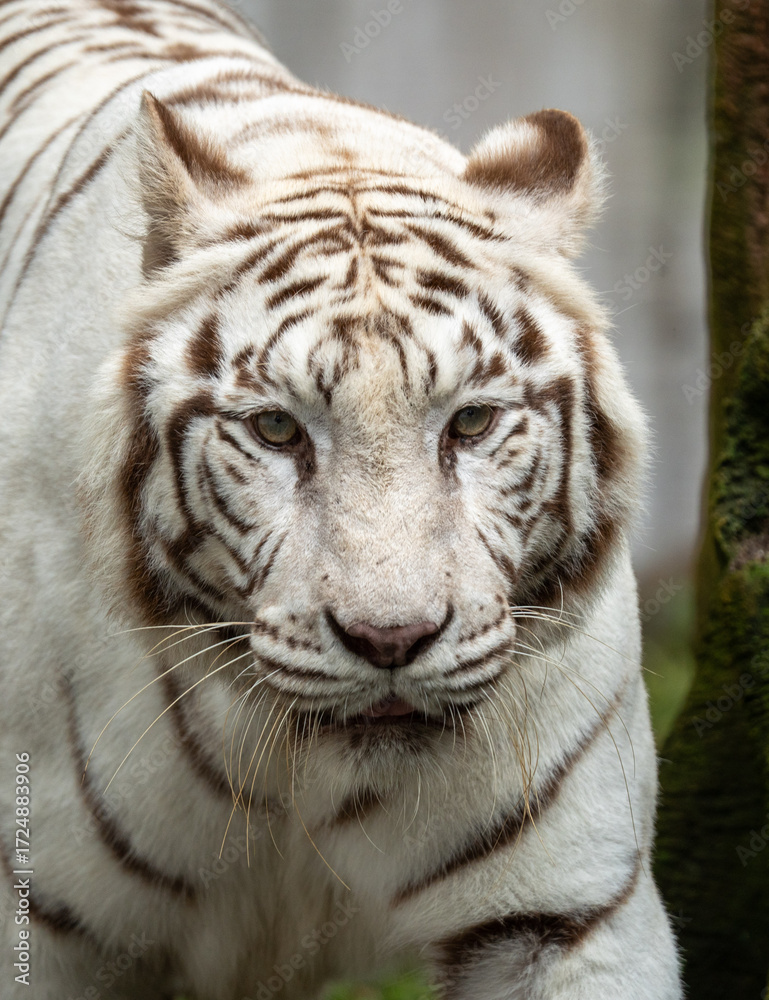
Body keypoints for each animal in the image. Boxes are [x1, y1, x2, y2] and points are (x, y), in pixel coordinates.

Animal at [0, 1, 682, 998]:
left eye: (471, 421)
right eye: (277, 430)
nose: (390, 640)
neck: (307, 775)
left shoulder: (563, 917)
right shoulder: (42, 924)